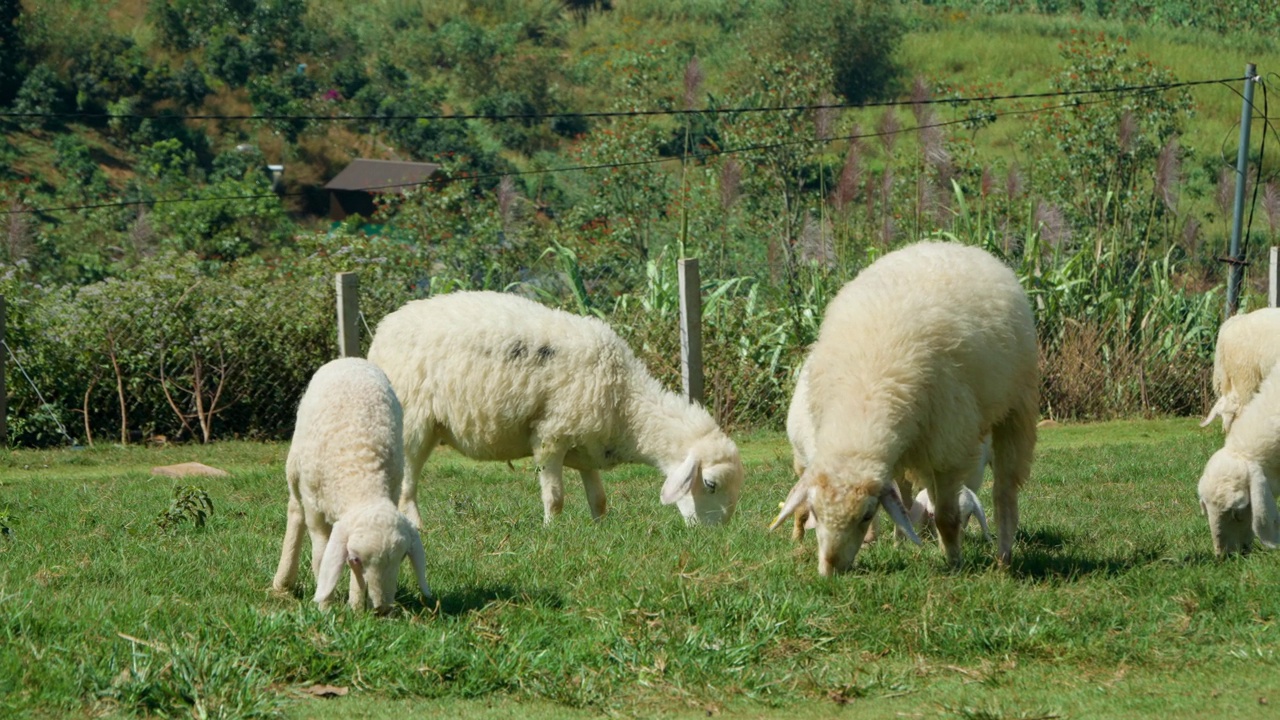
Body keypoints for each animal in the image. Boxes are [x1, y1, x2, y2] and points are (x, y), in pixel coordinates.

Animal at [268, 356, 430, 609]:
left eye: (403, 556)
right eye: (355, 558)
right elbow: (321, 556)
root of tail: (350, 359)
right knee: (295, 513)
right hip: (295, 471)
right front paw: (325, 606)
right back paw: (283, 581)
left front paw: (356, 605)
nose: (382, 609)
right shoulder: (315, 510)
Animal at [366, 288, 747, 525]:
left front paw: (601, 529)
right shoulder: (551, 436)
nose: (713, 536)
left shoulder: (588, 445)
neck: (625, 403)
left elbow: (599, 499)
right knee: (407, 488)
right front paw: (552, 530)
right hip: (414, 424)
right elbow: (555, 497)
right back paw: (418, 526)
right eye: (710, 485)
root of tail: (385, 328)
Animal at [762, 240, 1034, 571]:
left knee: (1004, 491)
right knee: (909, 494)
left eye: (867, 515)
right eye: (815, 509)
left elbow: (947, 517)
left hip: (1014, 407)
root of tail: (950, 245)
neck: (865, 399)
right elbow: (915, 505)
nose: (830, 570)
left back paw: (1003, 558)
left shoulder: (948, 447)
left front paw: (954, 561)